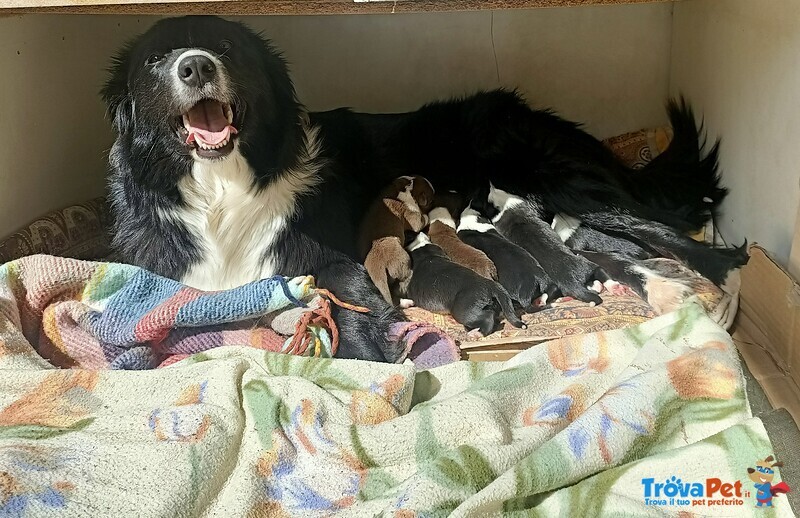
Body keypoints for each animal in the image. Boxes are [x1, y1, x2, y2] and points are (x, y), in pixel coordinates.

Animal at [360, 176, 438, 304]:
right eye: (431, 201)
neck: (409, 189)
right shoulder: (414, 218)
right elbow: (423, 219)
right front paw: (427, 215)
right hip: (404, 259)